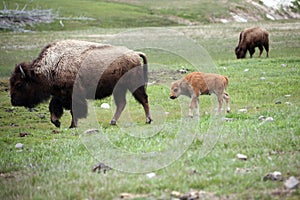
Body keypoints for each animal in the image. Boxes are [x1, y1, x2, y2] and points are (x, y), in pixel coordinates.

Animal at [9, 40, 152, 128]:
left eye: (19, 84)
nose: (13, 101)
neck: (54, 65)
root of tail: (134, 54)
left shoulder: (72, 95)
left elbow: (74, 111)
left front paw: (72, 125)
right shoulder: (58, 95)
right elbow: (54, 108)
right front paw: (57, 123)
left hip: (134, 85)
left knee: (143, 99)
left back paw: (148, 120)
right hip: (119, 89)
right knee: (122, 104)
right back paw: (112, 122)